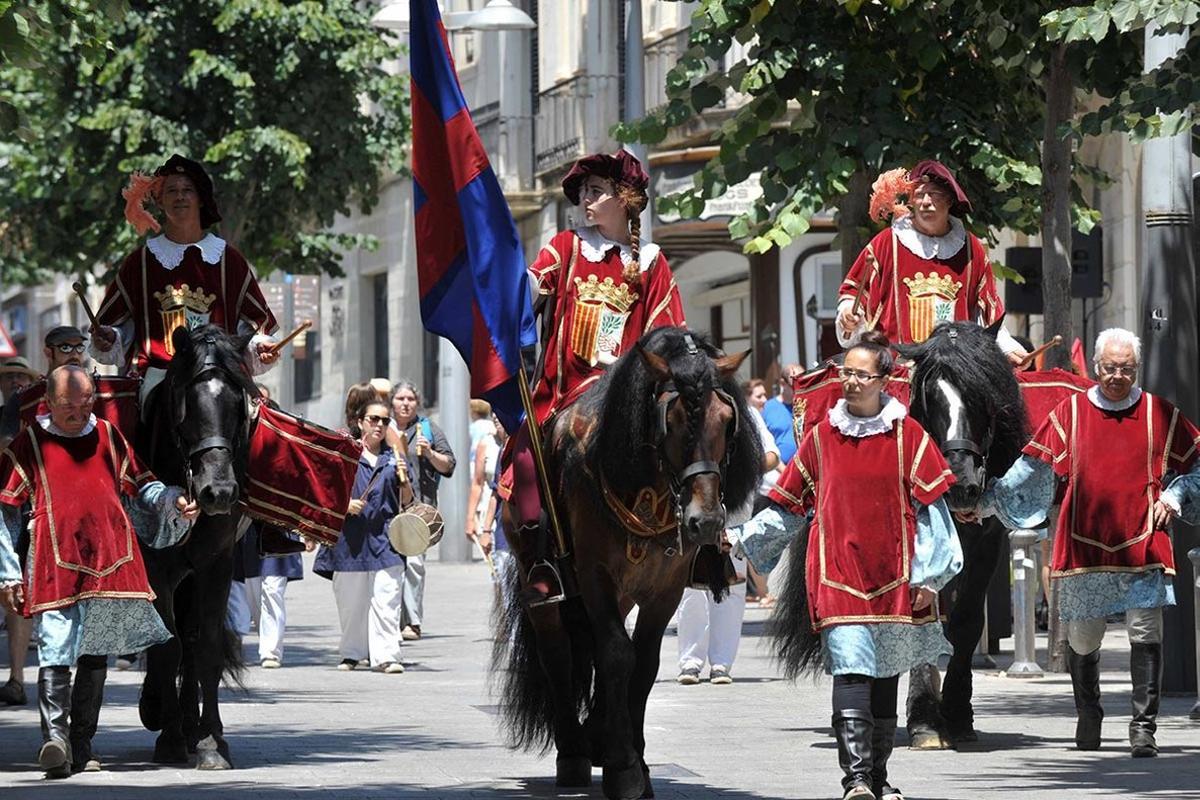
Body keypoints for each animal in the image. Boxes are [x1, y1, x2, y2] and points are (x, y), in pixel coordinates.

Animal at [137, 326, 256, 767]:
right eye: (187, 404)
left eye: (239, 404)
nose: (218, 492)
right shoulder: (156, 568)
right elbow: (167, 644)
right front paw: (169, 735)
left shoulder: (215, 564)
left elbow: (203, 646)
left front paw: (210, 740)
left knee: (190, 639)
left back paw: (189, 723)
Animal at [494, 328, 758, 796]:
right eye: (672, 420)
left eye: (727, 420)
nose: (705, 522)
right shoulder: (595, 575)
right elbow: (618, 654)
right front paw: (623, 766)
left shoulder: (665, 588)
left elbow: (644, 662)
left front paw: (636, 758)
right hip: (537, 576)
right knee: (558, 652)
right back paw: (575, 751)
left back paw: (597, 733)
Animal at [772, 321, 1027, 753]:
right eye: (931, 395)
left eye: (984, 392)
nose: (961, 484)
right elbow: (922, 617)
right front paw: (925, 719)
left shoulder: (986, 545)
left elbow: (966, 622)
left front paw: (957, 715)